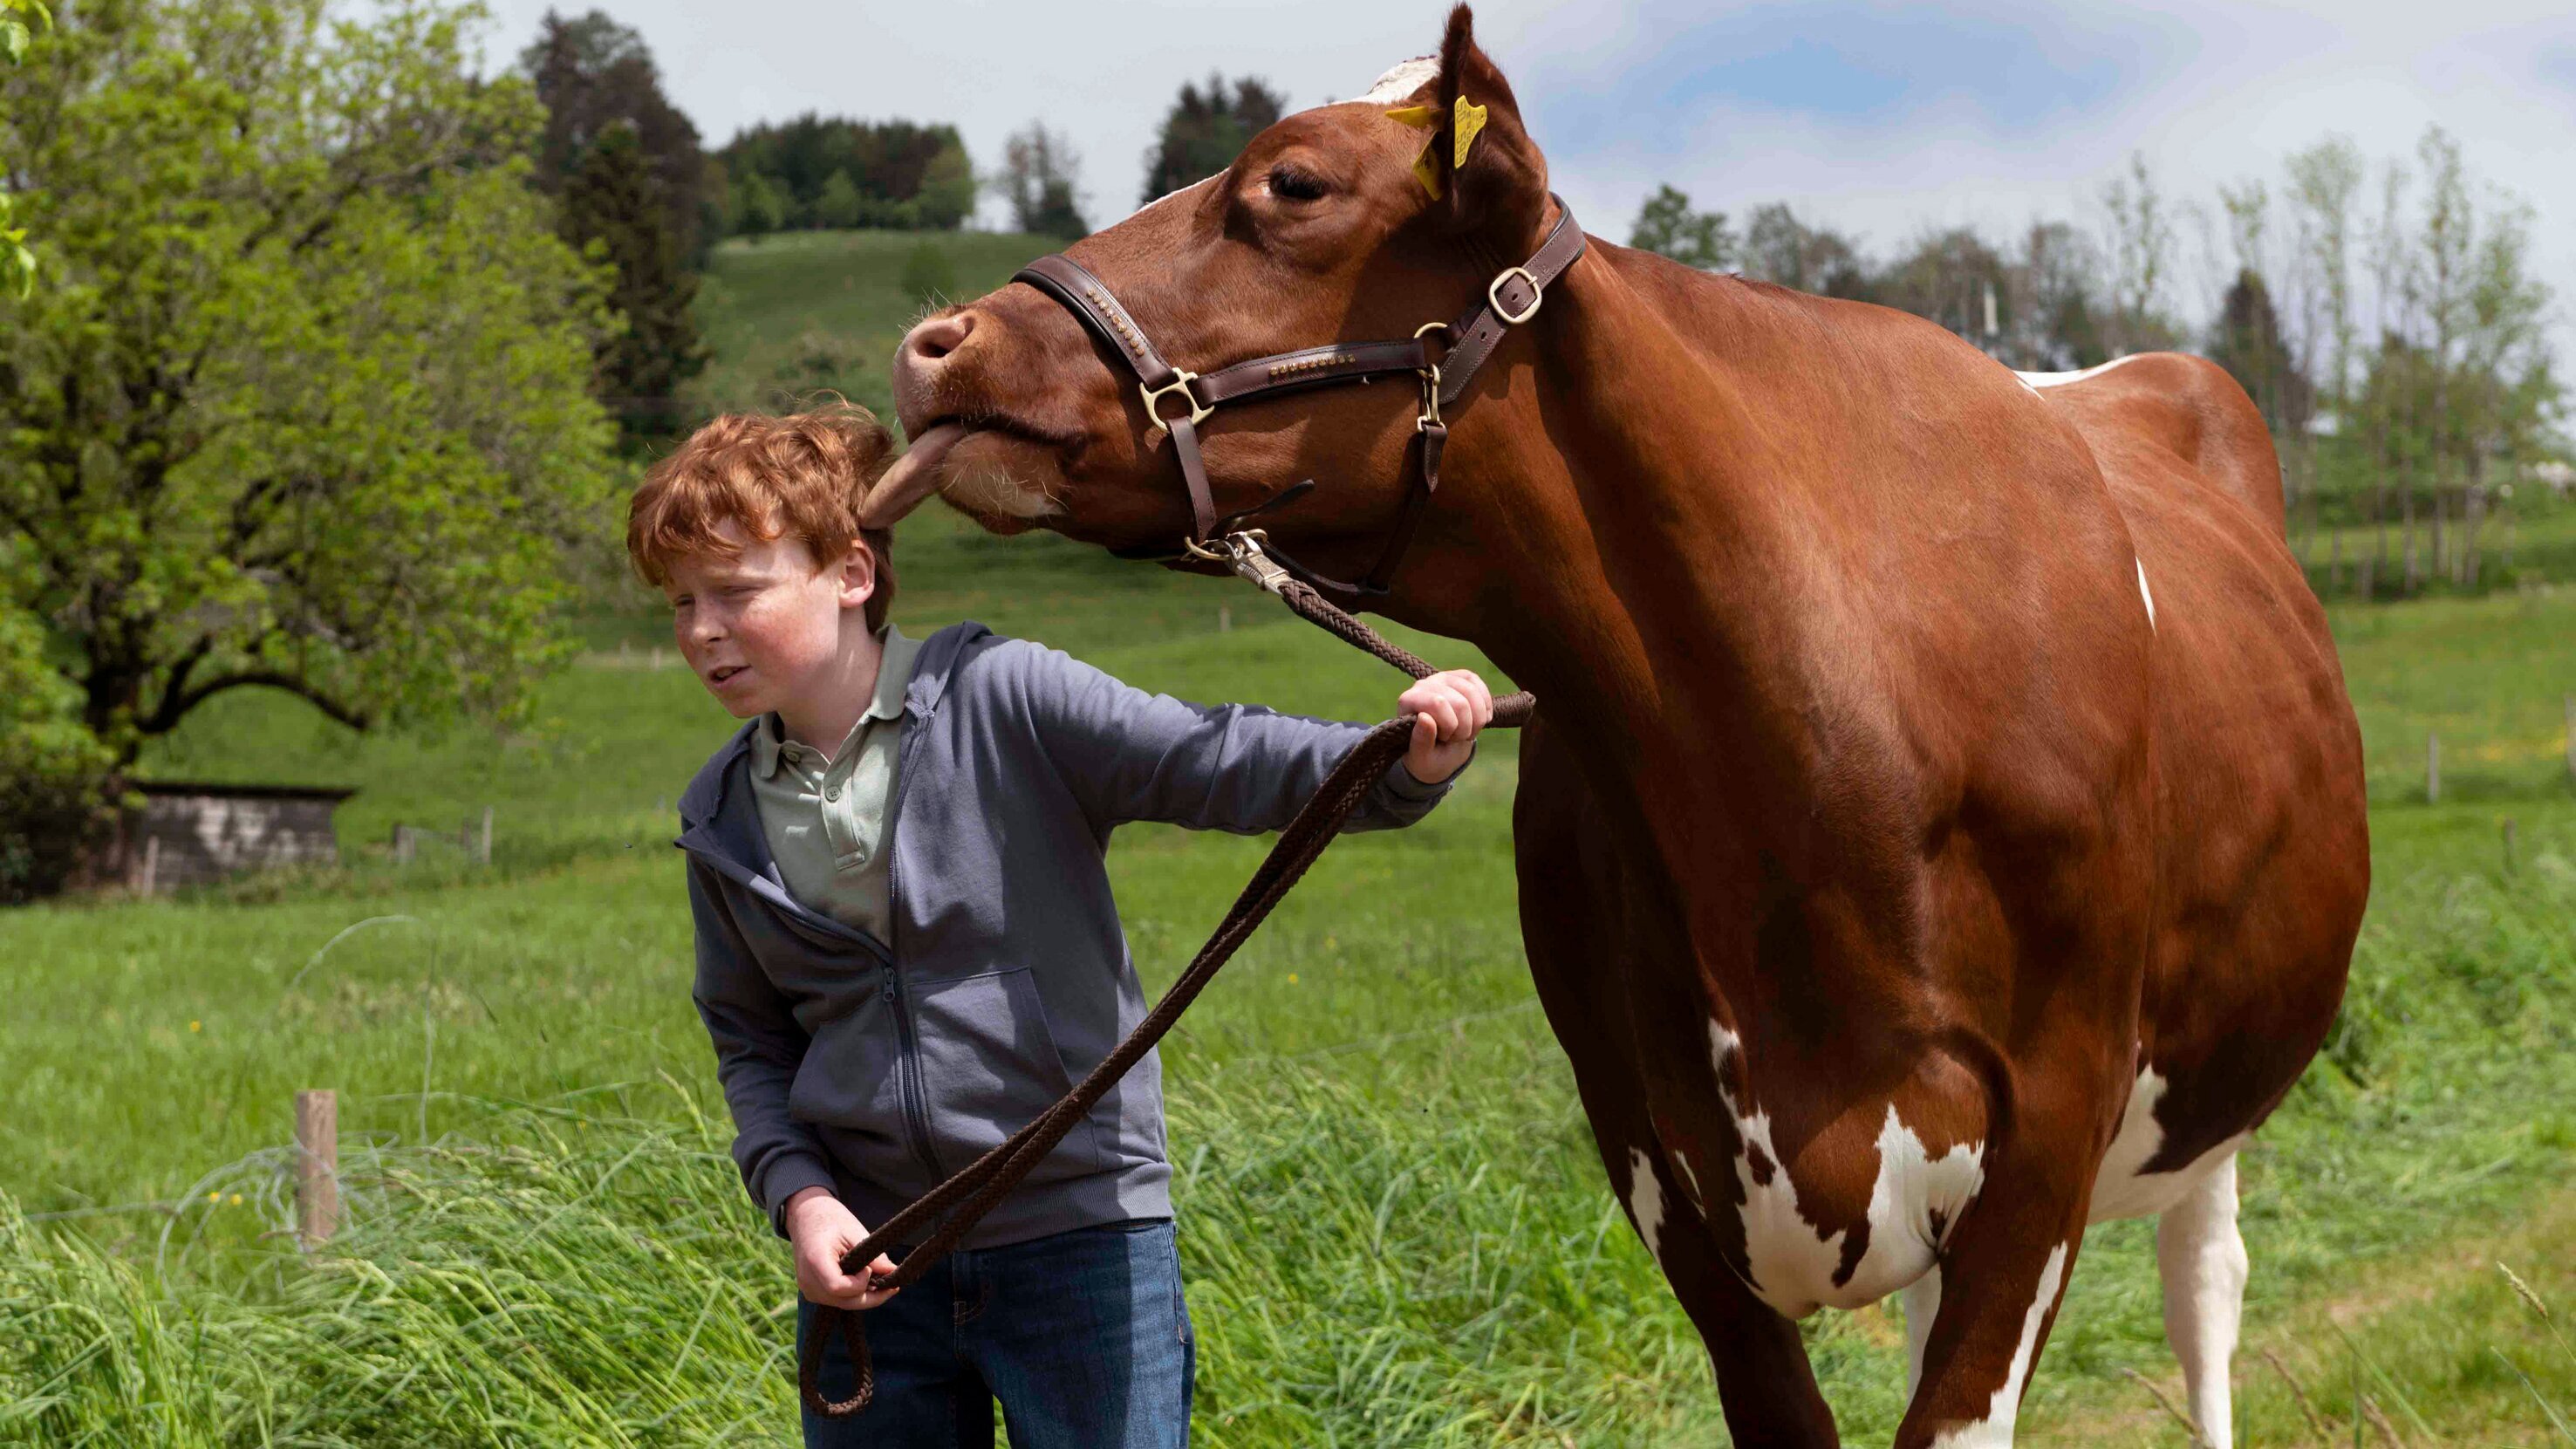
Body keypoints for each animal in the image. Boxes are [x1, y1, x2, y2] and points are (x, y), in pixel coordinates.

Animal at [865, 14, 2369, 1444]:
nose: (935, 342)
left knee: (2204, 1294)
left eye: (1295, 183)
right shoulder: (1654, 1159)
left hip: (2202, 1100)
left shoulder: (2047, 1142)